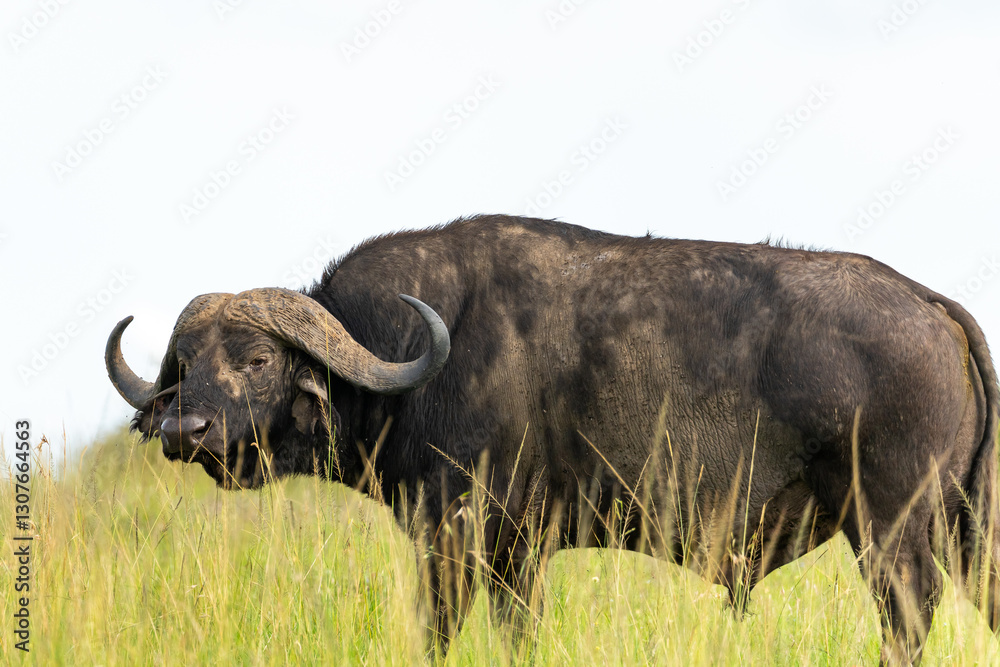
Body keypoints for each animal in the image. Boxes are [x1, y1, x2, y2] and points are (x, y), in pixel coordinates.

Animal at [106, 215, 999, 664]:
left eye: (257, 359)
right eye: (185, 363)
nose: (184, 428)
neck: (417, 349)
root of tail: (928, 302)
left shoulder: (459, 535)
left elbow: (438, 629)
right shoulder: (517, 555)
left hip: (891, 529)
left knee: (907, 619)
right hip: (963, 530)